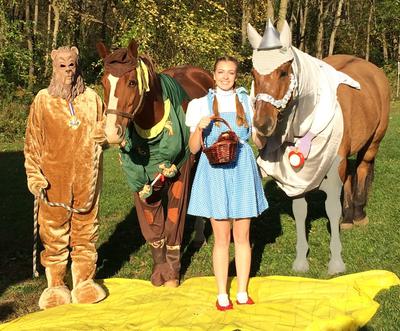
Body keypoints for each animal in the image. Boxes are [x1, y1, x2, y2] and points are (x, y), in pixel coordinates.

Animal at [97, 39, 214, 288]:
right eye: (104, 83)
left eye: (132, 82)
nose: (111, 133)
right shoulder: (141, 186)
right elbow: (154, 227)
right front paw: (160, 273)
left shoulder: (180, 176)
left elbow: (172, 223)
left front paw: (172, 276)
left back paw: (199, 236)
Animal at [248, 20, 390, 274]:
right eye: (254, 74)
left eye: (283, 72)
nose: (262, 124)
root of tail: (374, 71)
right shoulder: (298, 174)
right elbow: (300, 210)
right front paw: (301, 261)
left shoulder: (334, 169)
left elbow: (331, 208)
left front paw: (336, 263)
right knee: (352, 175)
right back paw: (348, 218)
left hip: (372, 143)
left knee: (362, 169)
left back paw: (359, 214)